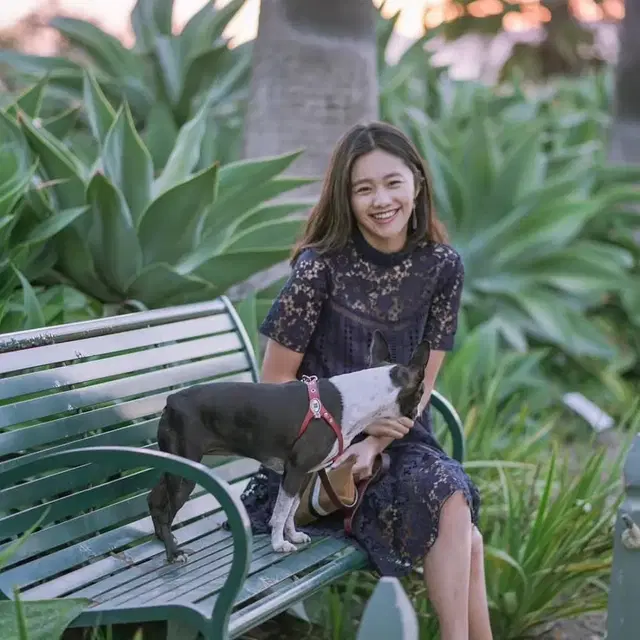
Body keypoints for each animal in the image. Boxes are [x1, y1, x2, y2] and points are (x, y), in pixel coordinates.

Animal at [148, 332, 432, 564]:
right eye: (421, 392)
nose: (418, 412)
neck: (360, 397)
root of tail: (171, 400)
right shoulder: (294, 471)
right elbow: (281, 510)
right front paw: (278, 544)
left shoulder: (305, 473)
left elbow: (292, 509)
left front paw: (292, 536)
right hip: (184, 473)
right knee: (166, 511)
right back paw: (174, 553)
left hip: (174, 465)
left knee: (155, 500)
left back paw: (165, 541)